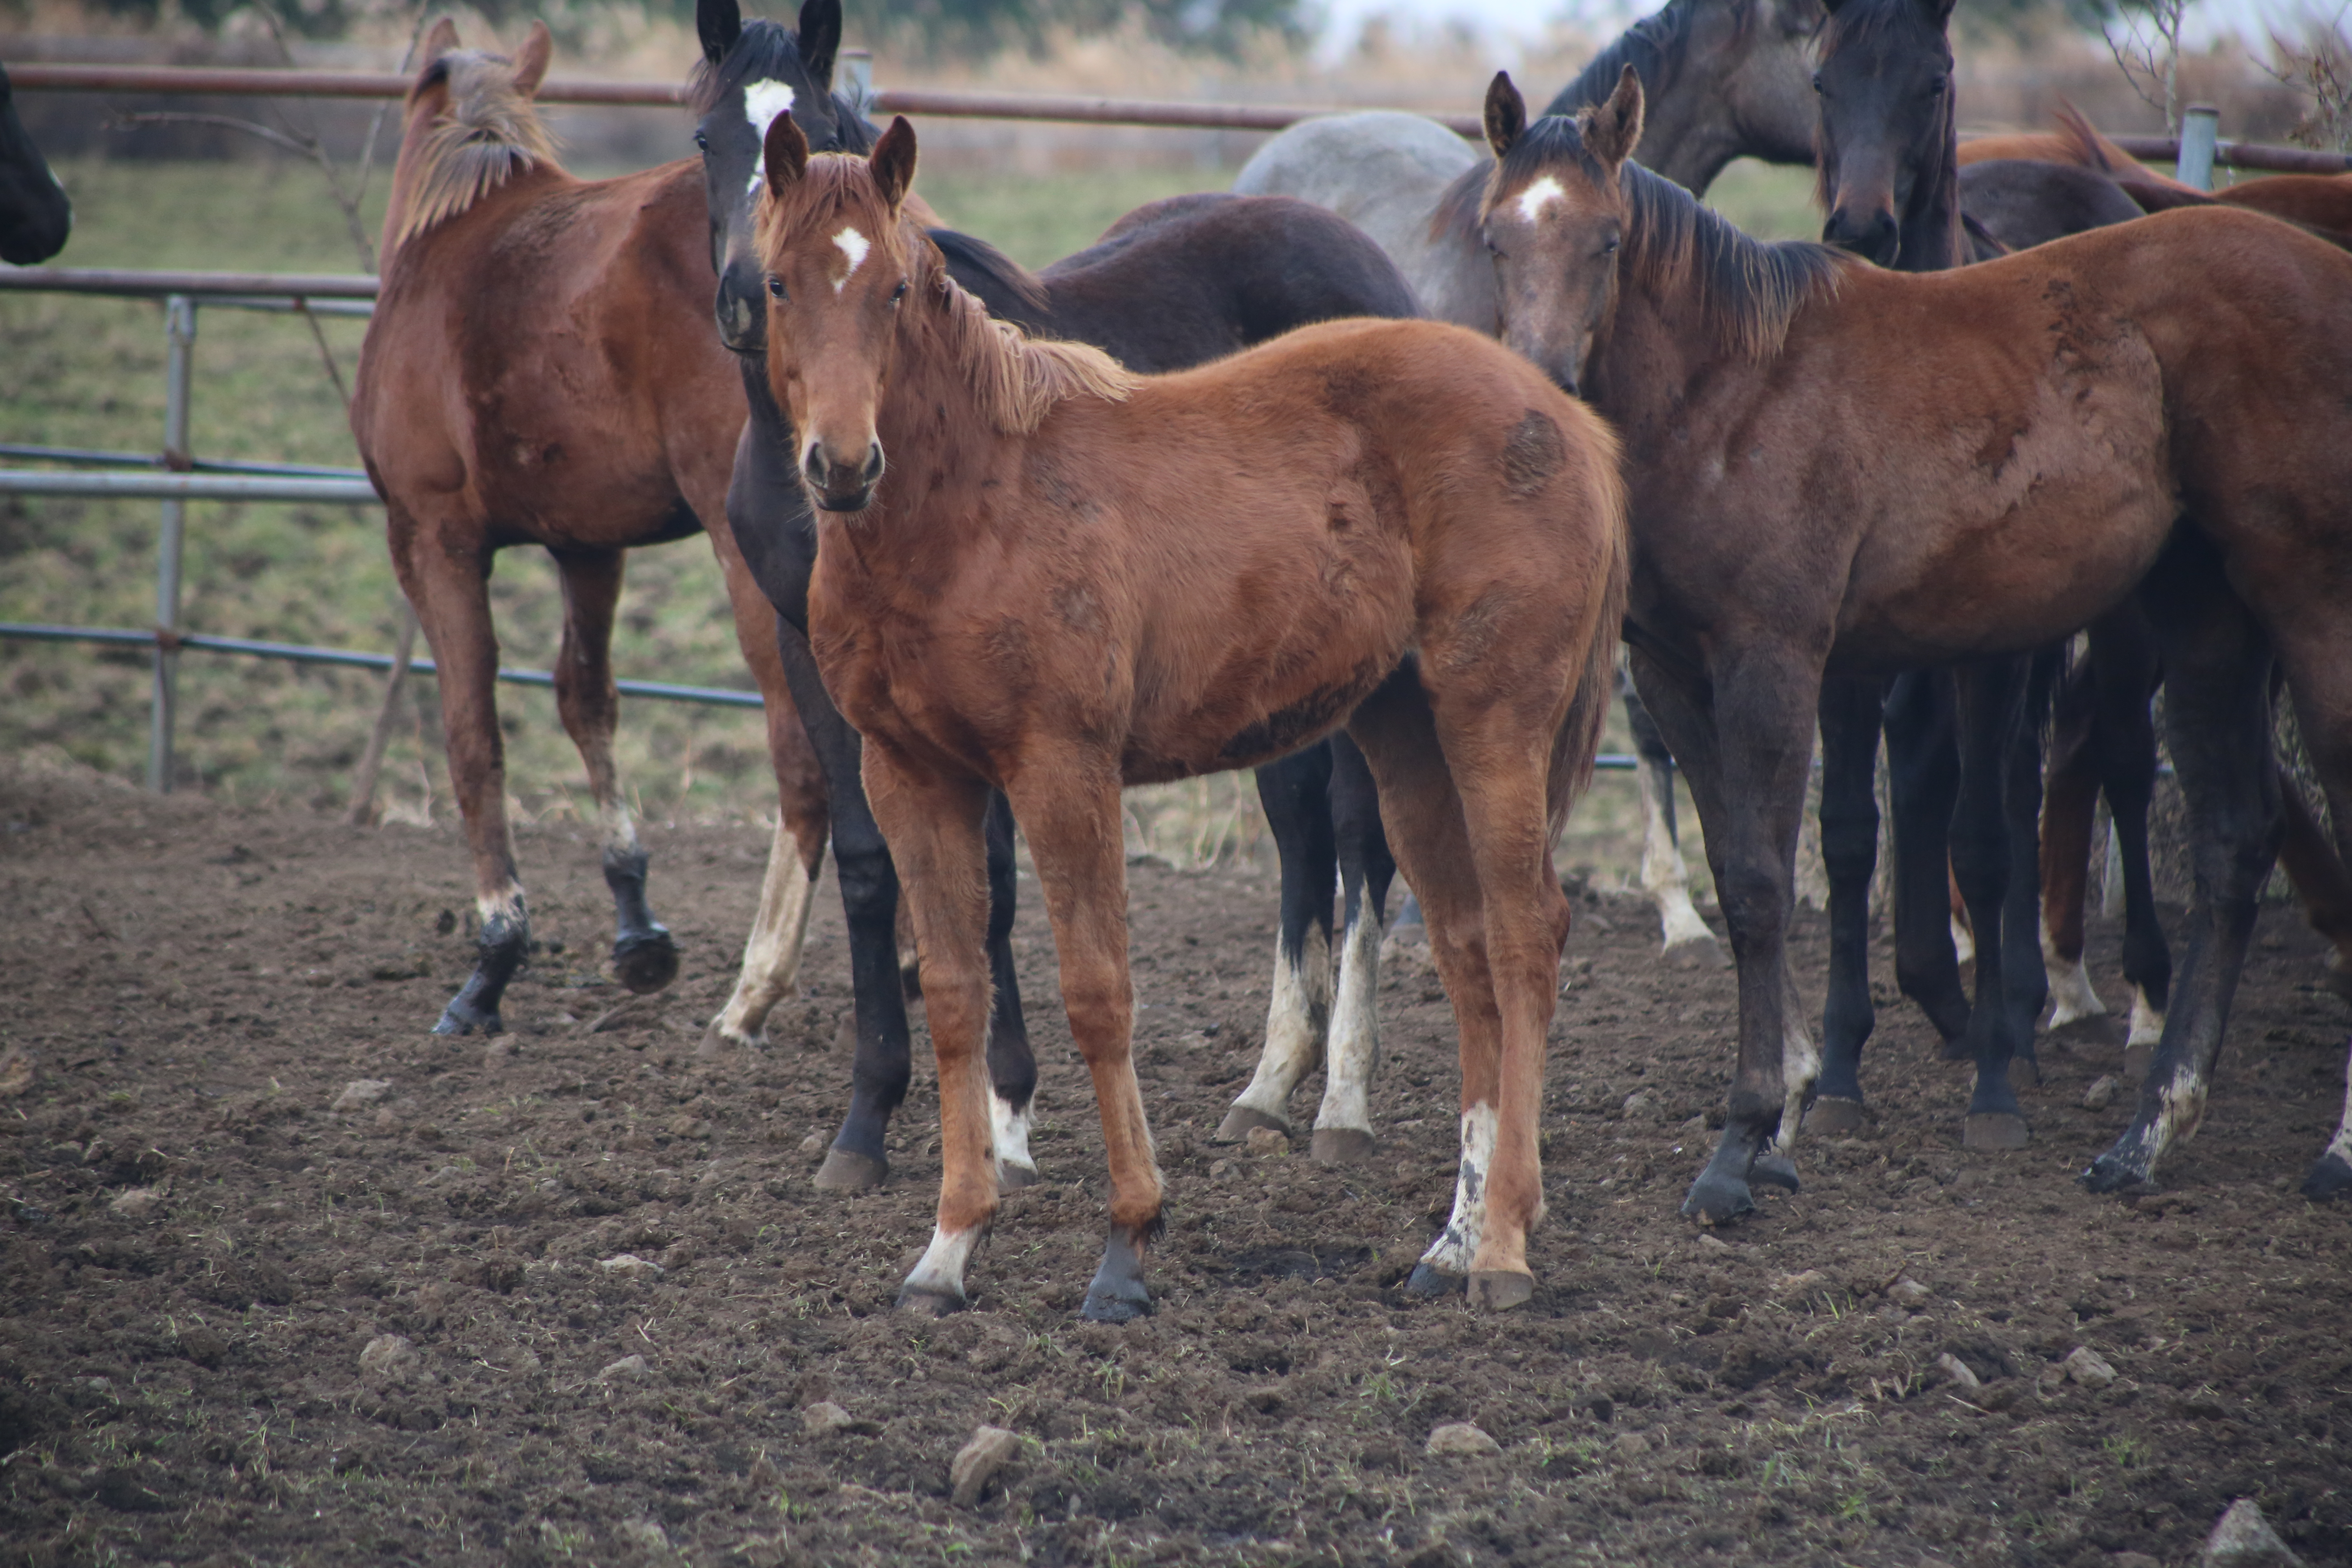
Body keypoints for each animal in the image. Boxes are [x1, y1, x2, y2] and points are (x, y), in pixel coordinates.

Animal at [343, 21, 833, 1044]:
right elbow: (585, 700)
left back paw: (765, 985)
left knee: (808, 760)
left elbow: (473, 730)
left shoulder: (431, 540)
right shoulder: (587, 543)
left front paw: (494, 958)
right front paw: (637, 926)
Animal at [686, 0, 1411, 1189]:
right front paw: (866, 1125)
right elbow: (875, 869)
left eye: (827, 131)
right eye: (706, 139)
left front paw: (1008, 1114)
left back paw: (1342, 1102)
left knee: (1357, 836)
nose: (748, 300)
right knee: (1302, 828)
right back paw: (1266, 1088)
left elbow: (990, 874)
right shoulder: (814, 650)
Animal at [757, 110, 1637, 1316]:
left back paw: (1500, 1242)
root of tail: (1561, 411)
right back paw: (1451, 1239)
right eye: (776, 283)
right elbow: (952, 992)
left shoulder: (1062, 768)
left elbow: (1097, 992)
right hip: (1406, 737)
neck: (976, 505)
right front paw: (947, 1249)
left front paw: (1127, 1244)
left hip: (1494, 723)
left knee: (1521, 937)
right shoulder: (909, 774)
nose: (841, 467)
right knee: (1464, 948)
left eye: (893, 288)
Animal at [1477, 67, 2352, 1222]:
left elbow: (1761, 886)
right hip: (2204, 620)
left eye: (1608, 239)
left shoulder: (1771, 663)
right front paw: (1785, 1111)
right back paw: (2146, 1139)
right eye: (1493, 237)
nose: (1540, 389)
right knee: (2232, 841)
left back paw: (2329, 1148)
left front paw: (1743, 1141)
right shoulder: (1673, 671)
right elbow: (1733, 868)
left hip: (2310, 604)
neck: (1727, 394)